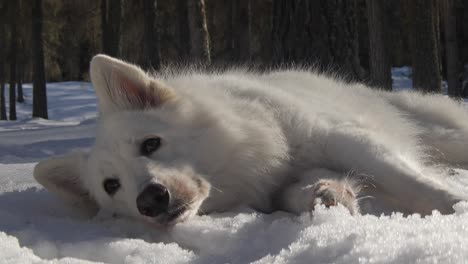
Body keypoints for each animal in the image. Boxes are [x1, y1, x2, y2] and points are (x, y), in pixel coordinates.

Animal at [33, 54, 468, 227]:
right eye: (111, 186)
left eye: (150, 144)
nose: (151, 201)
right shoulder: (280, 185)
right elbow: (302, 192)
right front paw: (327, 195)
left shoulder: (342, 138)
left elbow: (411, 181)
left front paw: (455, 205)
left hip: (442, 134)